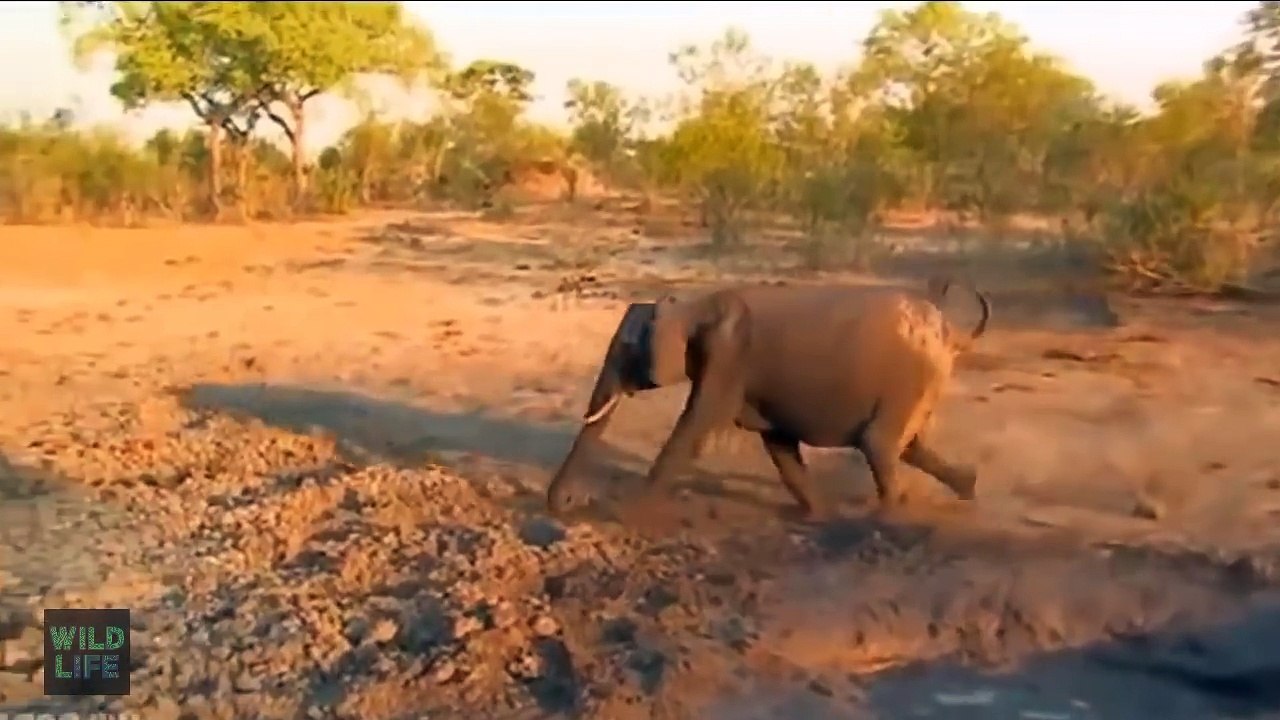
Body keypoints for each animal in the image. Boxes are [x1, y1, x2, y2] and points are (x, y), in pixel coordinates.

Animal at [544, 278, 992, 520]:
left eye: (625, 349)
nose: (568, 503)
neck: (692, 305)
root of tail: (950, 329)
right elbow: (779, 445)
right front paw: (817, 516)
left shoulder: (727, 359)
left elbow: (693, 427)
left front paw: (624, 514)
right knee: (908, 446)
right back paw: (966, 490)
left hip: (910, 377)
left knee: (879, 444)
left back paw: (887, 517)